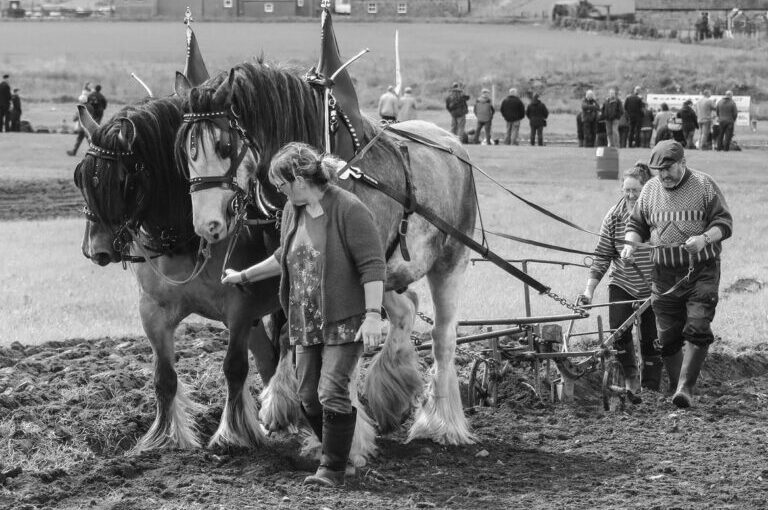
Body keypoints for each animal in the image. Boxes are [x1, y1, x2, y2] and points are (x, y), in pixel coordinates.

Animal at [74, 93, 284, 452]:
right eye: (82, 177)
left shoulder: (240, 310)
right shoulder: (152, 311)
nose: (95, 250)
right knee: (269, 359)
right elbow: (164, 377)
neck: (187, 239)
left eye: (123, 181)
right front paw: (165, 437)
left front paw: (231, 434)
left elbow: (234, 368)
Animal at [176, 59, 480, 458]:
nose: (206, 224)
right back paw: (389, 390)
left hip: (449, 262)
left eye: (224, 144)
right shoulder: (293, 271)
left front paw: (346, 437)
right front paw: (282, 406)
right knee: (406, 310)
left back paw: (442, 423)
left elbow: (338, 352)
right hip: (386, 272)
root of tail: (453, 144)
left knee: (443, 336)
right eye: (185, 151)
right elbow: (289, 334)